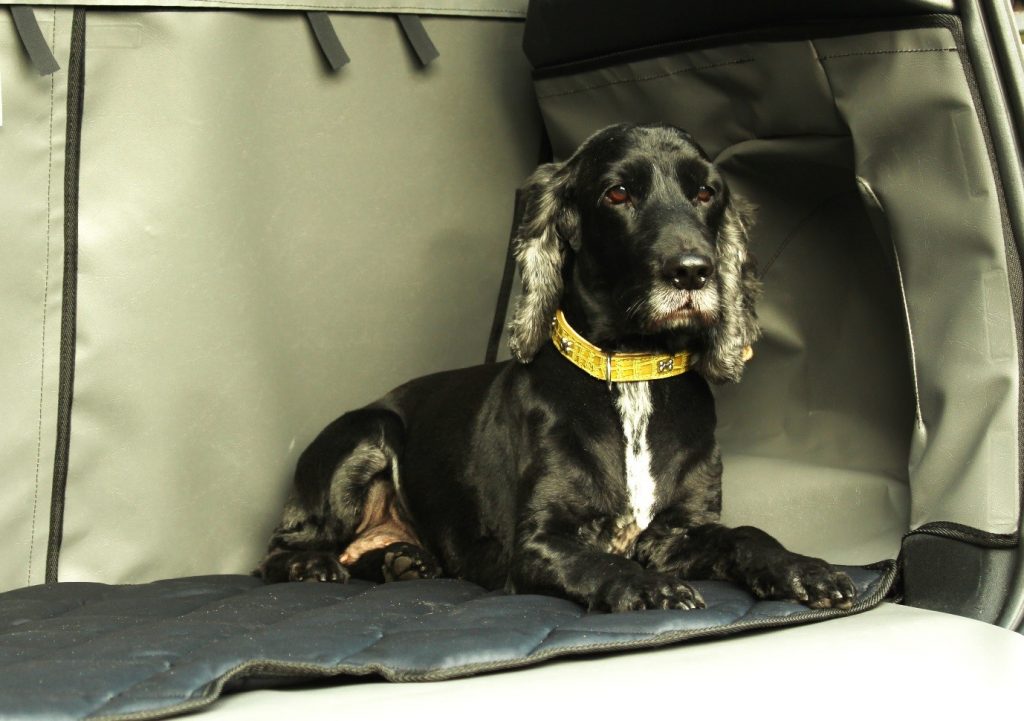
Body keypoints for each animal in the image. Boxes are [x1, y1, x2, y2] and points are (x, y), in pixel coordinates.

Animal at [258, 123, 856, 614]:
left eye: (706, 193)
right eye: (618, 193)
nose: (693, 272)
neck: (633, 371)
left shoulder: (679, 530)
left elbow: (747, 534)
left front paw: (803, 568)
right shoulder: (538, 543)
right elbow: (602, 562)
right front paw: (648, 587)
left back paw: (402, 561)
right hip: (367, 436)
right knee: (278, 552)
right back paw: (314, 564)